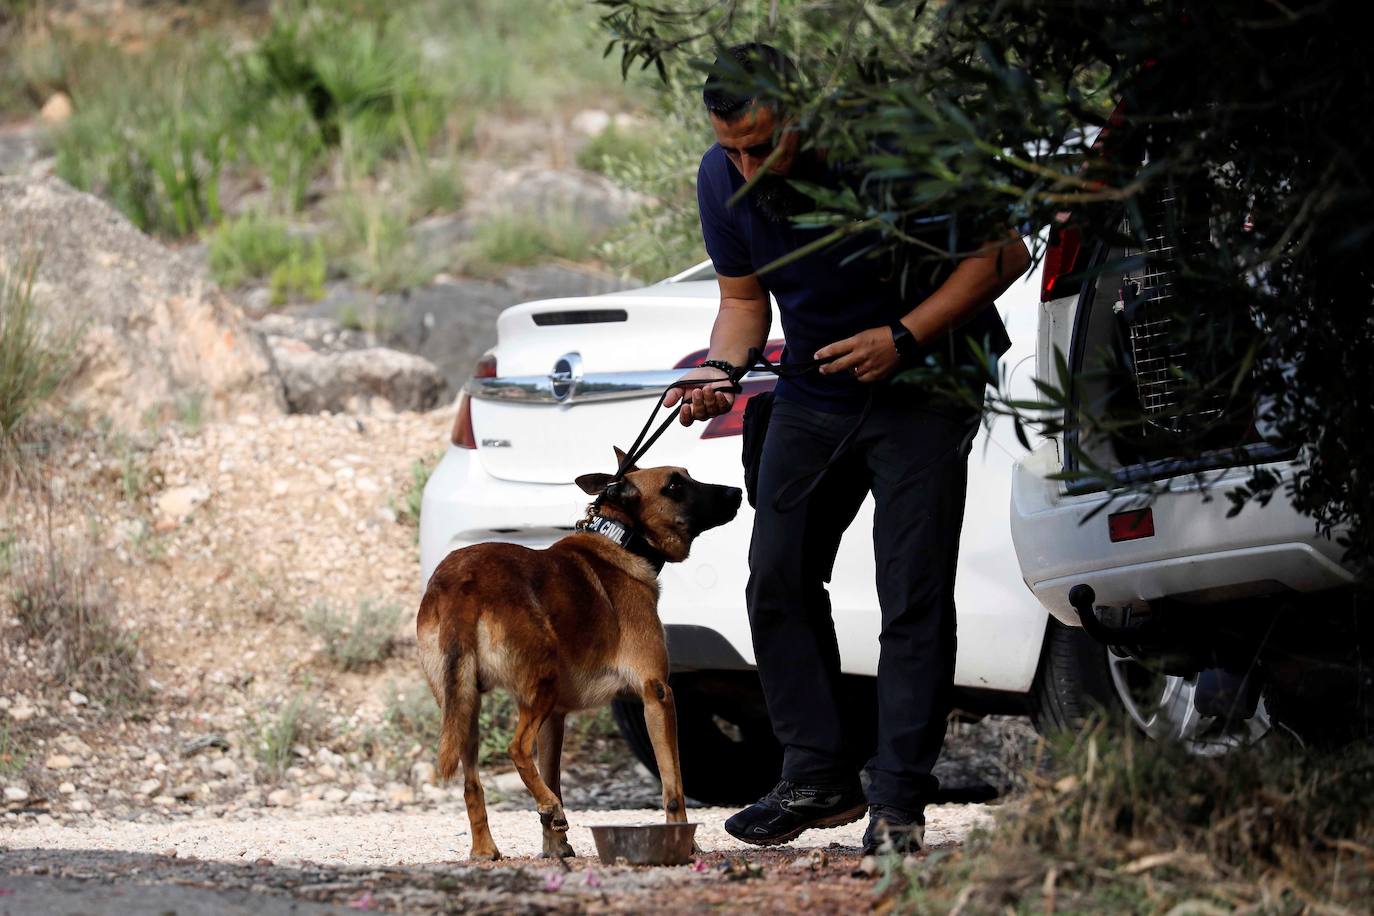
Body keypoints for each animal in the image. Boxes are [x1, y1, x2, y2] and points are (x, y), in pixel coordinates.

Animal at [417, 450, 741, 862]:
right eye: (674, 485)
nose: (736, 492)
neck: (621, 541)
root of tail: (462, 582)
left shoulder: (556, 718)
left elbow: (552, 774)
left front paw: (555, 846)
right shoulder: (657, 694)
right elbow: (673, 786)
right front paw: (686, 842)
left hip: (464, 704)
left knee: (473, 782)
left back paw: (488, 847)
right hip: (540, 686)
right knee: (516, 748)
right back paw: (545, 807)